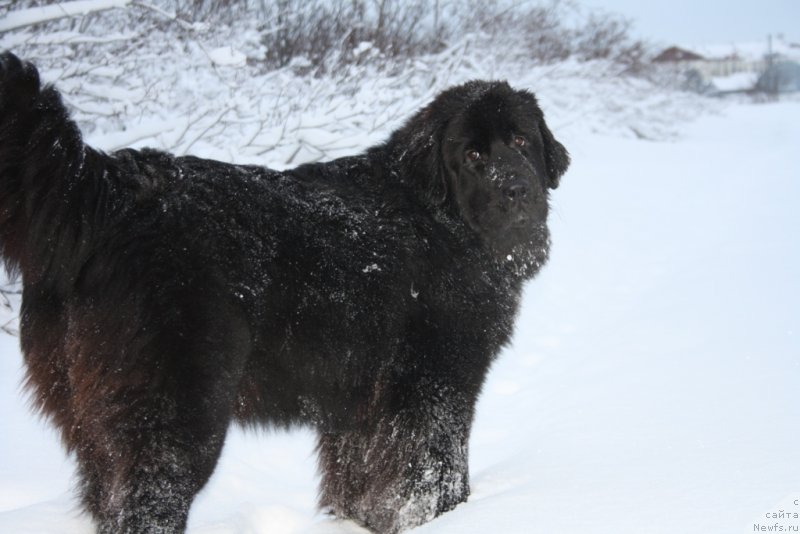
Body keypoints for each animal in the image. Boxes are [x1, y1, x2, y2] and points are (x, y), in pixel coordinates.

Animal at [3, 51, 572, 534]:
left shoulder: (361, 408)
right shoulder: (435, 385)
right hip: (175, 415)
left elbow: (362, 483)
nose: (518, 190)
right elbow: (435, 473)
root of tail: (108, 186)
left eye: (522, 142)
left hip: (91, 423)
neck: (441, 222)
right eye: (472, 155)